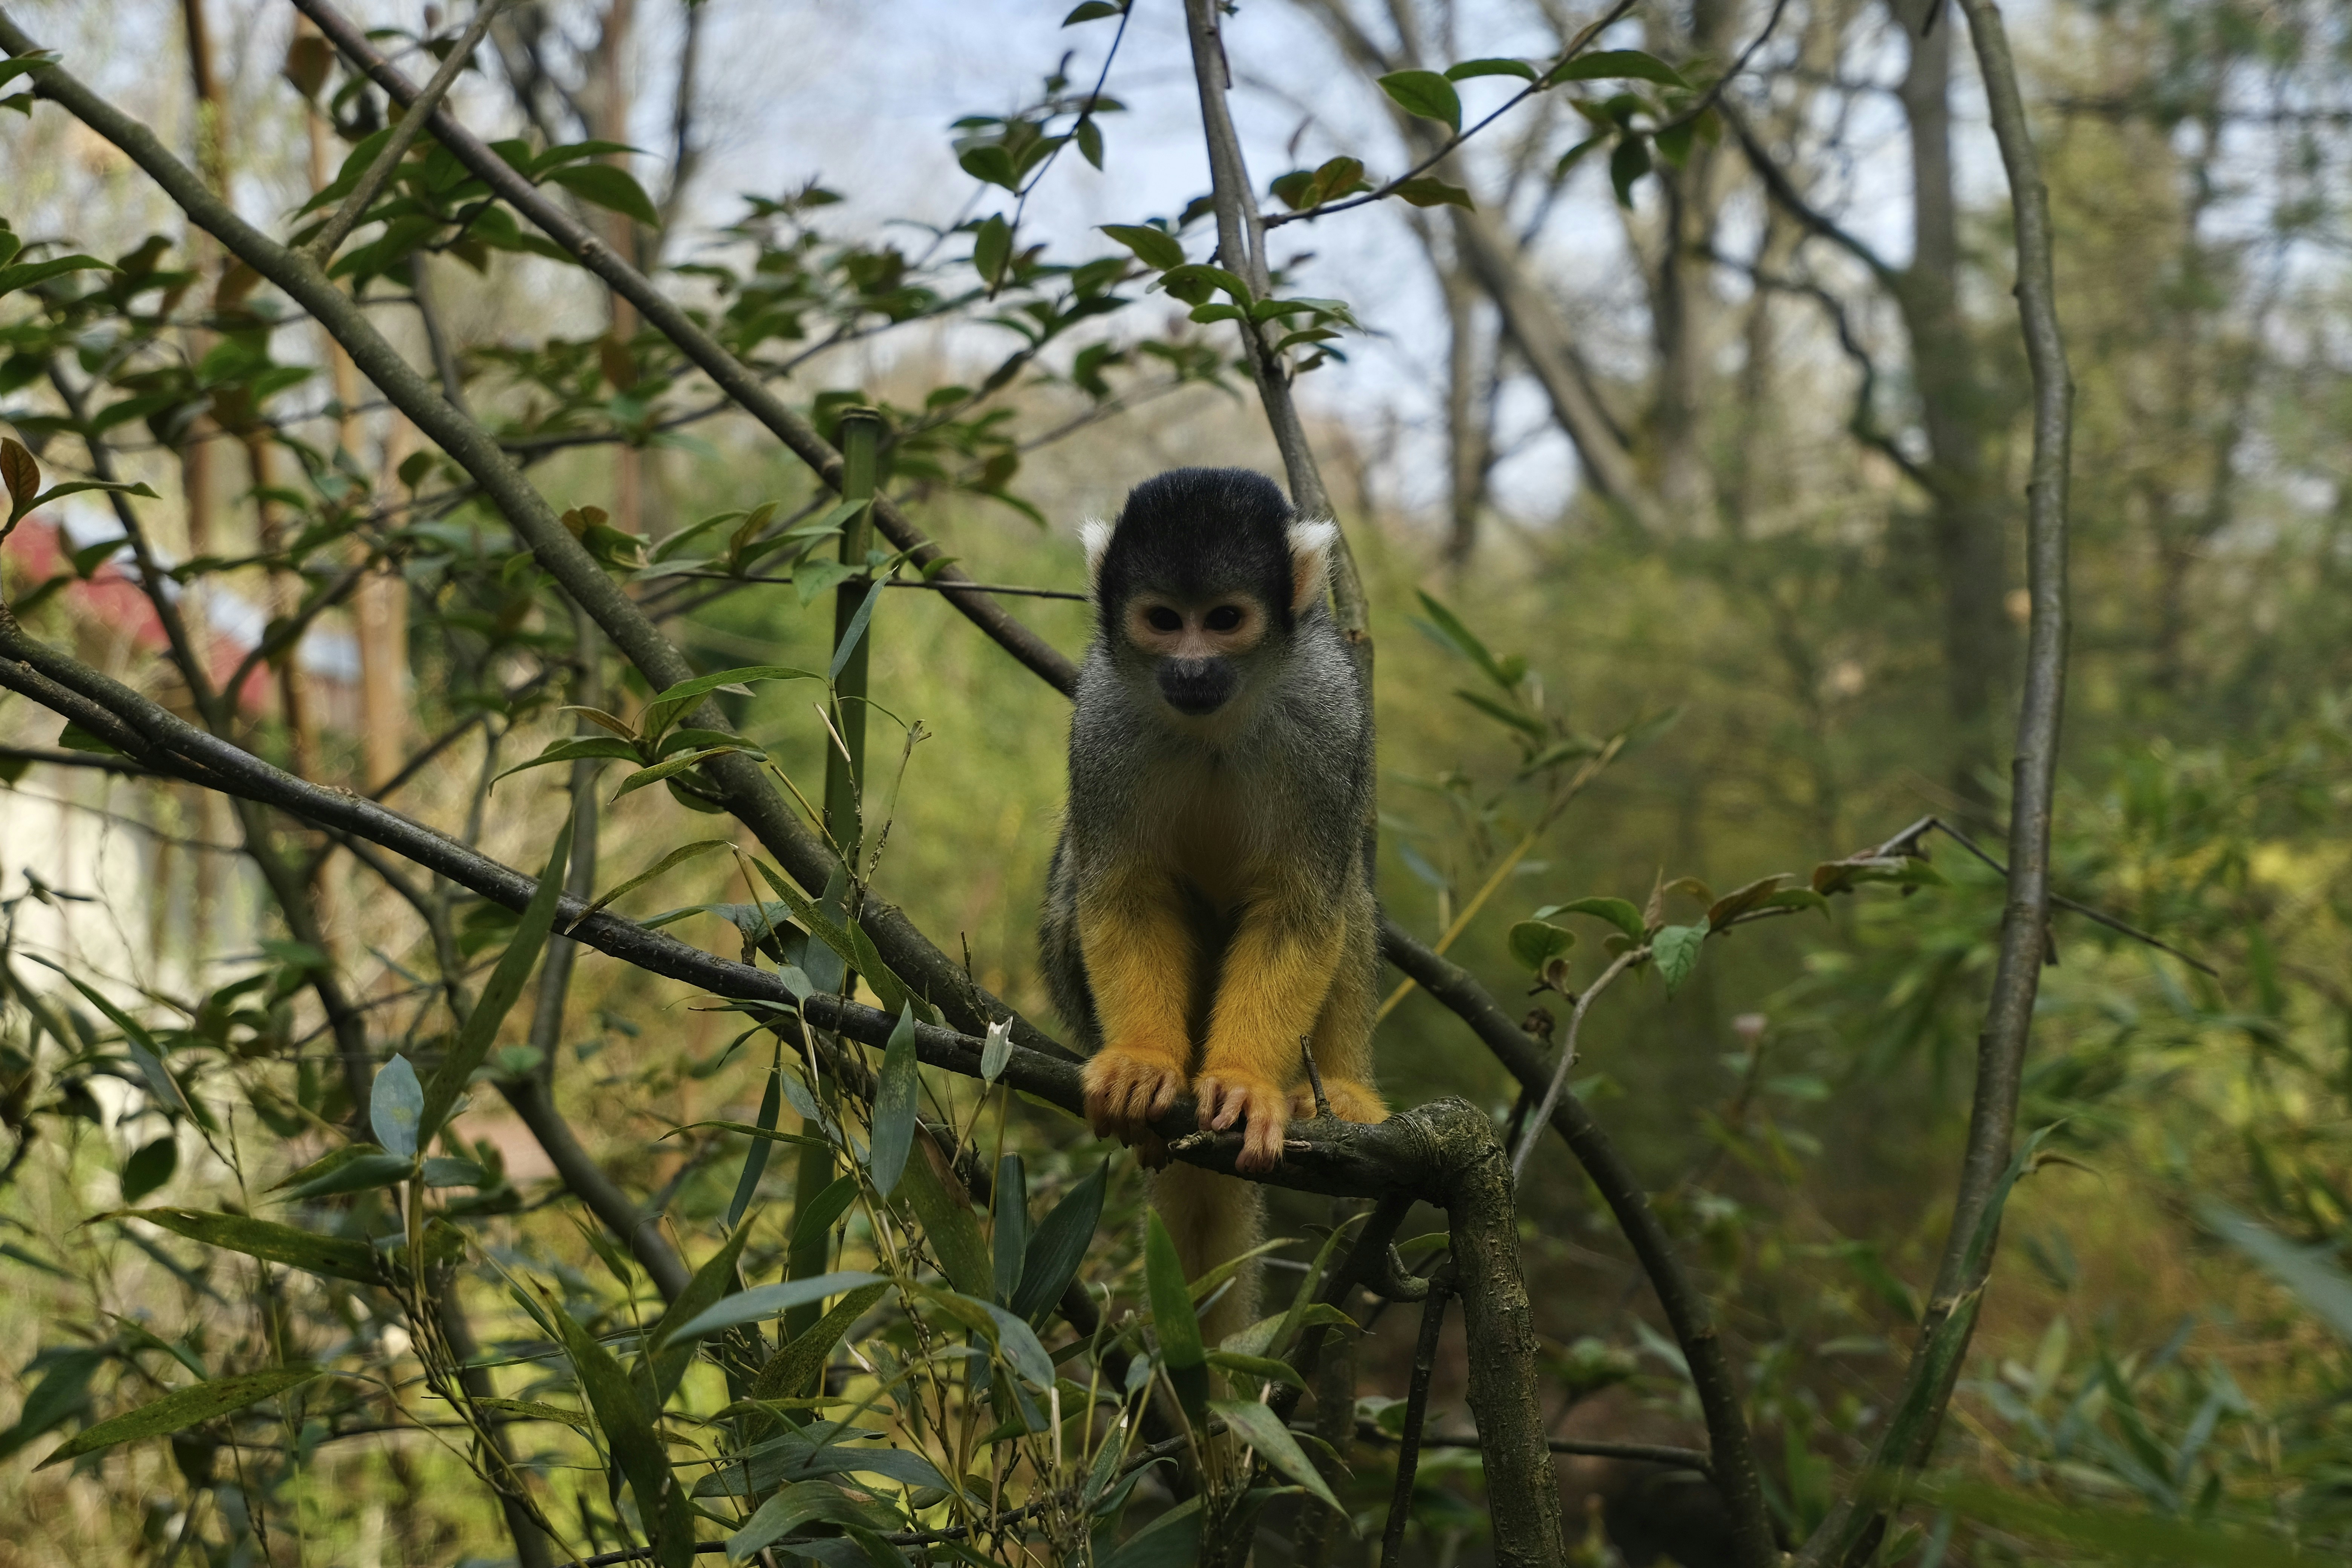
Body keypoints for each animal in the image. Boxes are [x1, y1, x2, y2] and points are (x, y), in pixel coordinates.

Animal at [1040, 466, 1384, 1348]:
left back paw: (1332, 1090)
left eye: (1223, 620)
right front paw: (1143, 1061)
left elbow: (1302, 908)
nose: (1192, 669)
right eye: (1165, 621)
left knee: (1347, 893)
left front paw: (1242, 1081)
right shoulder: (1102, 714)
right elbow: (1125, 895)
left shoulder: (1328, 711)